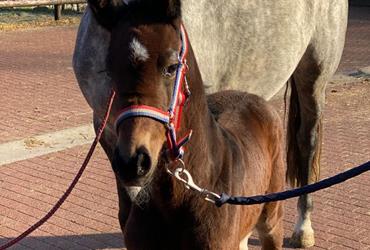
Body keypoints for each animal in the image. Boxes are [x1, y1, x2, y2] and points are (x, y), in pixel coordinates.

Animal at [73, 0, 348, 247]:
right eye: (109, 70)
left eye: (171, 67)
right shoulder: (107, 130)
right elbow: (125, 208)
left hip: (313, 78)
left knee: (307, 145)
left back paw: (303, 228)